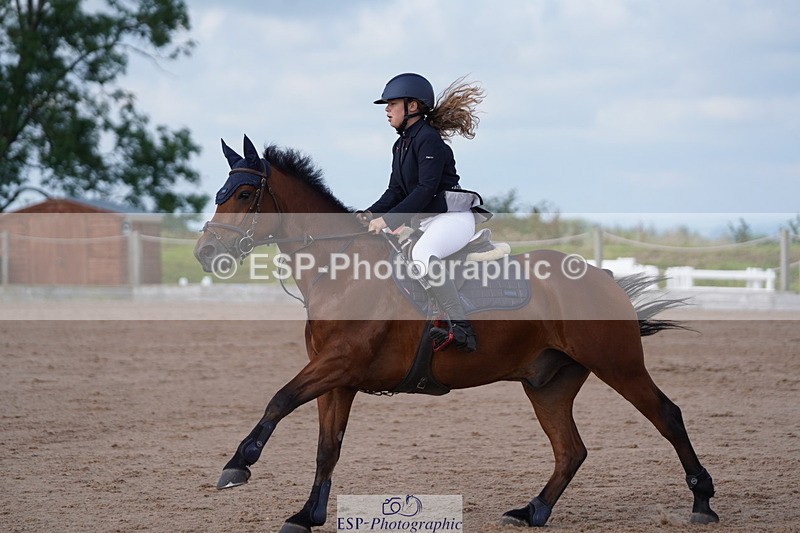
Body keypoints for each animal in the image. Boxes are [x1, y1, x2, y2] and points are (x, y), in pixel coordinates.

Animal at [193, 135, 718, 532]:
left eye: (243, 195)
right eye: (219, 191)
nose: (205, 253)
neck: (339, 270)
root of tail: (601, 276)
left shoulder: (338, 364)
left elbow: (279, 400)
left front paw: (238, 464)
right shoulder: (337, 379)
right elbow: (328, 448)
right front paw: (307, 515)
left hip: (617, 365)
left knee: (667, 416)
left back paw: (703, 502)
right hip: (548, 383)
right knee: (571, 450)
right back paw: (532, 511)